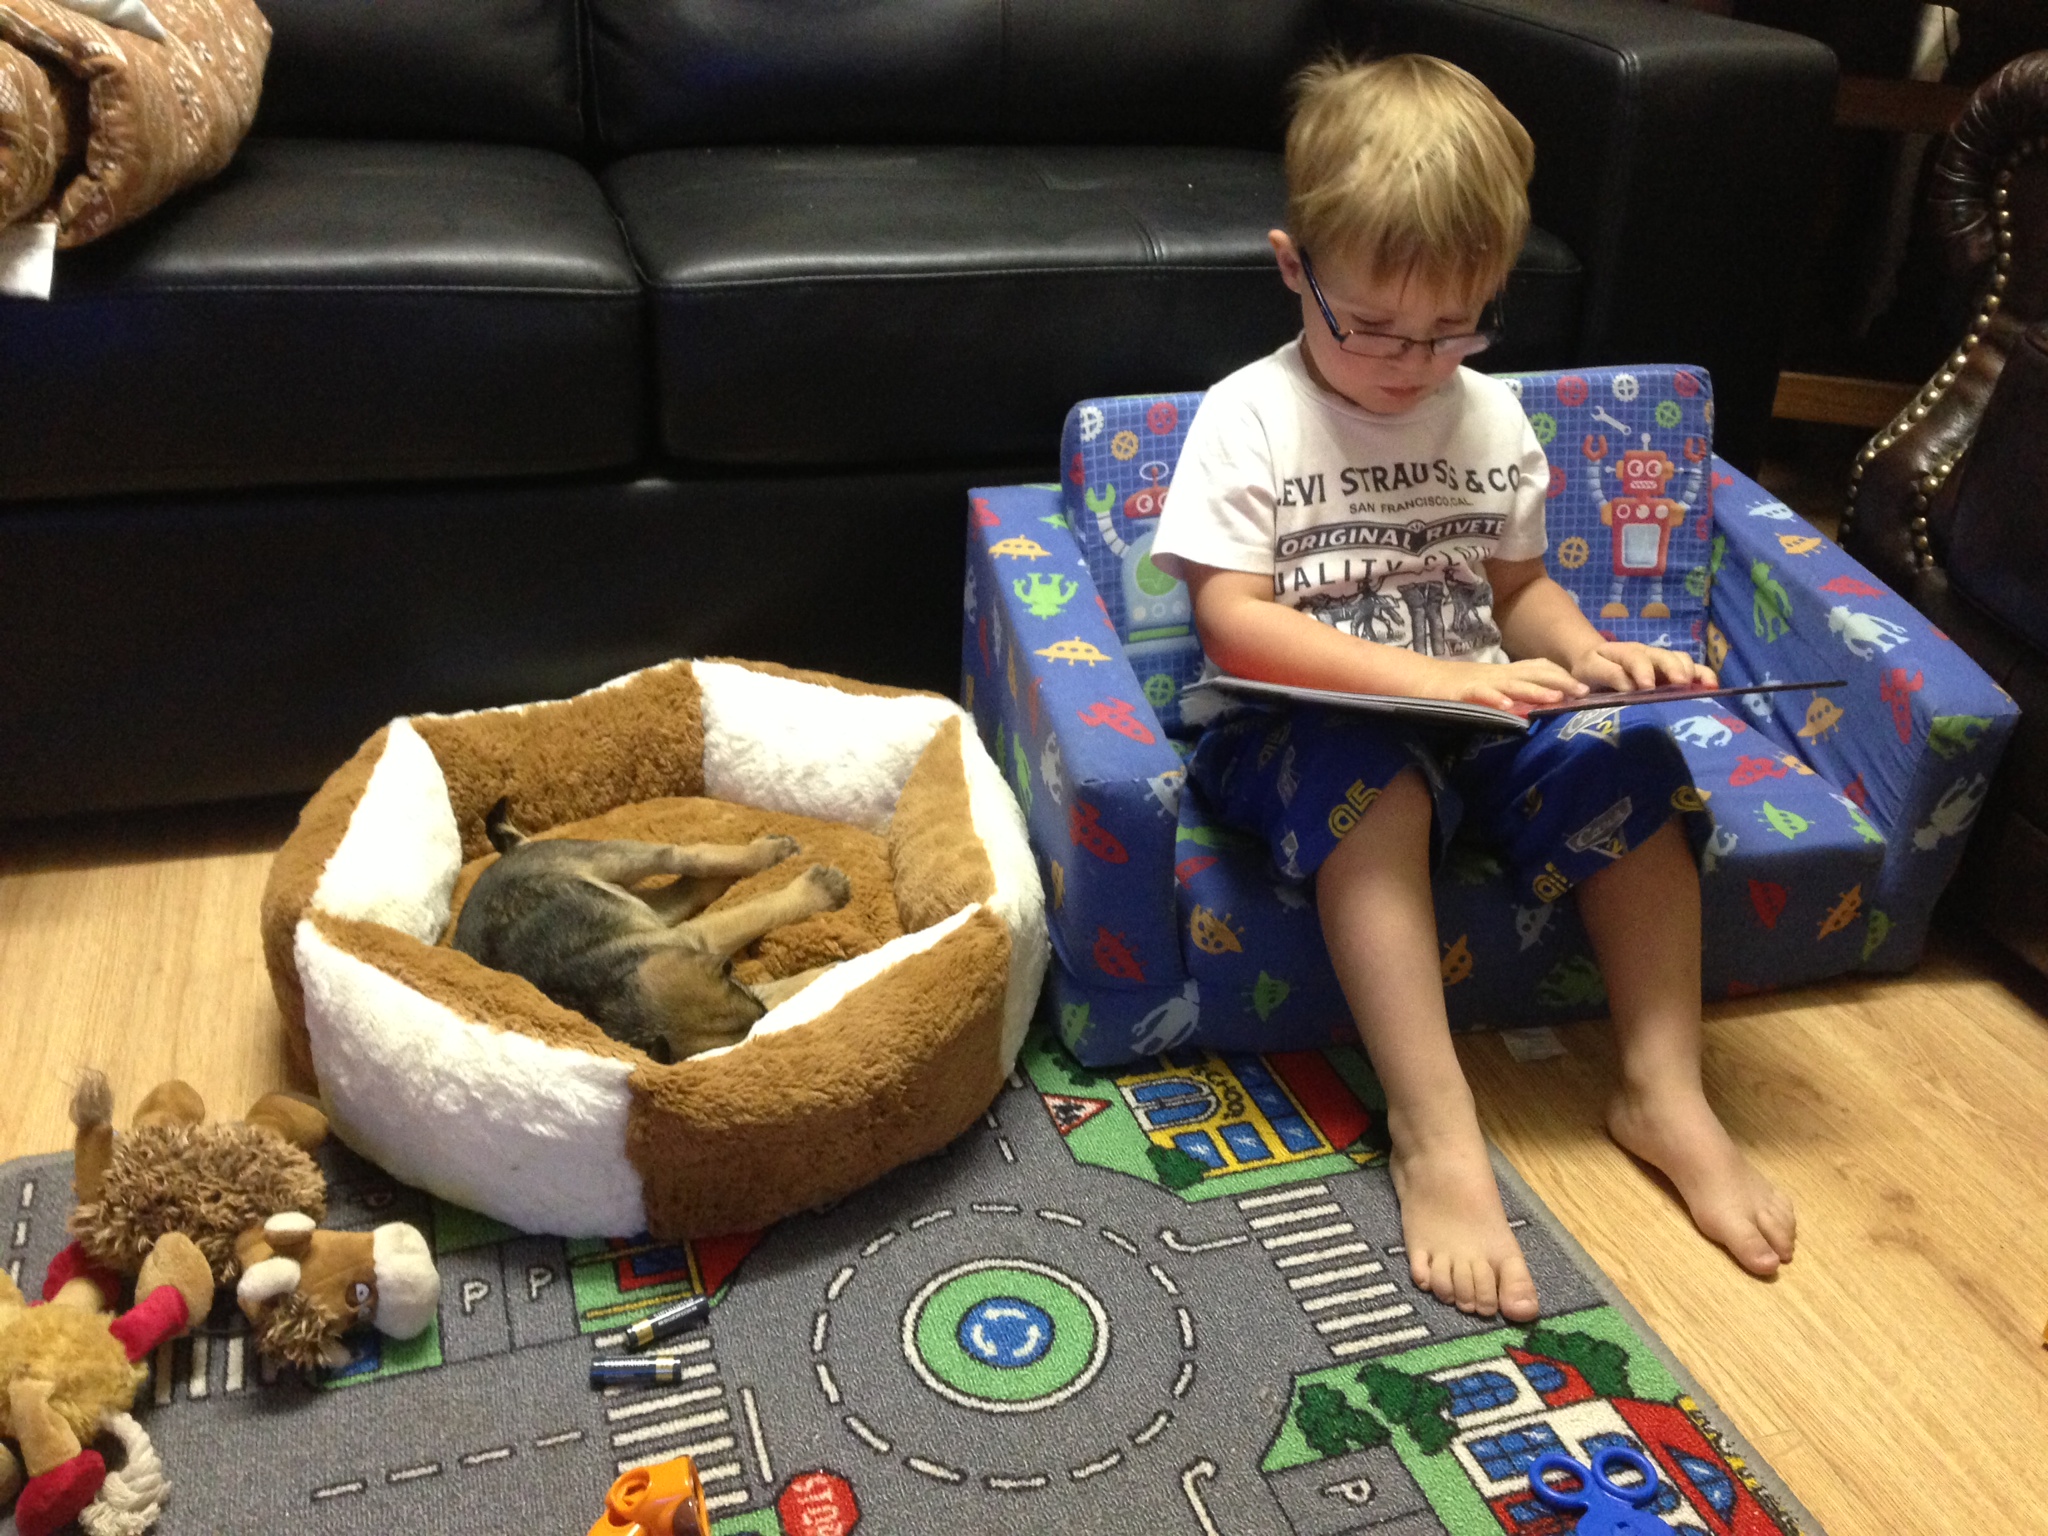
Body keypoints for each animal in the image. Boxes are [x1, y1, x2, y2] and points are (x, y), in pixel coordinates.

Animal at [454, 798, 847, 1064]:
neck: (613, 995)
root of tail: (511, 854)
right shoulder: (699, 943)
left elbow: (757, 913)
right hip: (644, 903)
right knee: (689, 882)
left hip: (617, 859)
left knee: (687, 855)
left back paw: (769, 853)